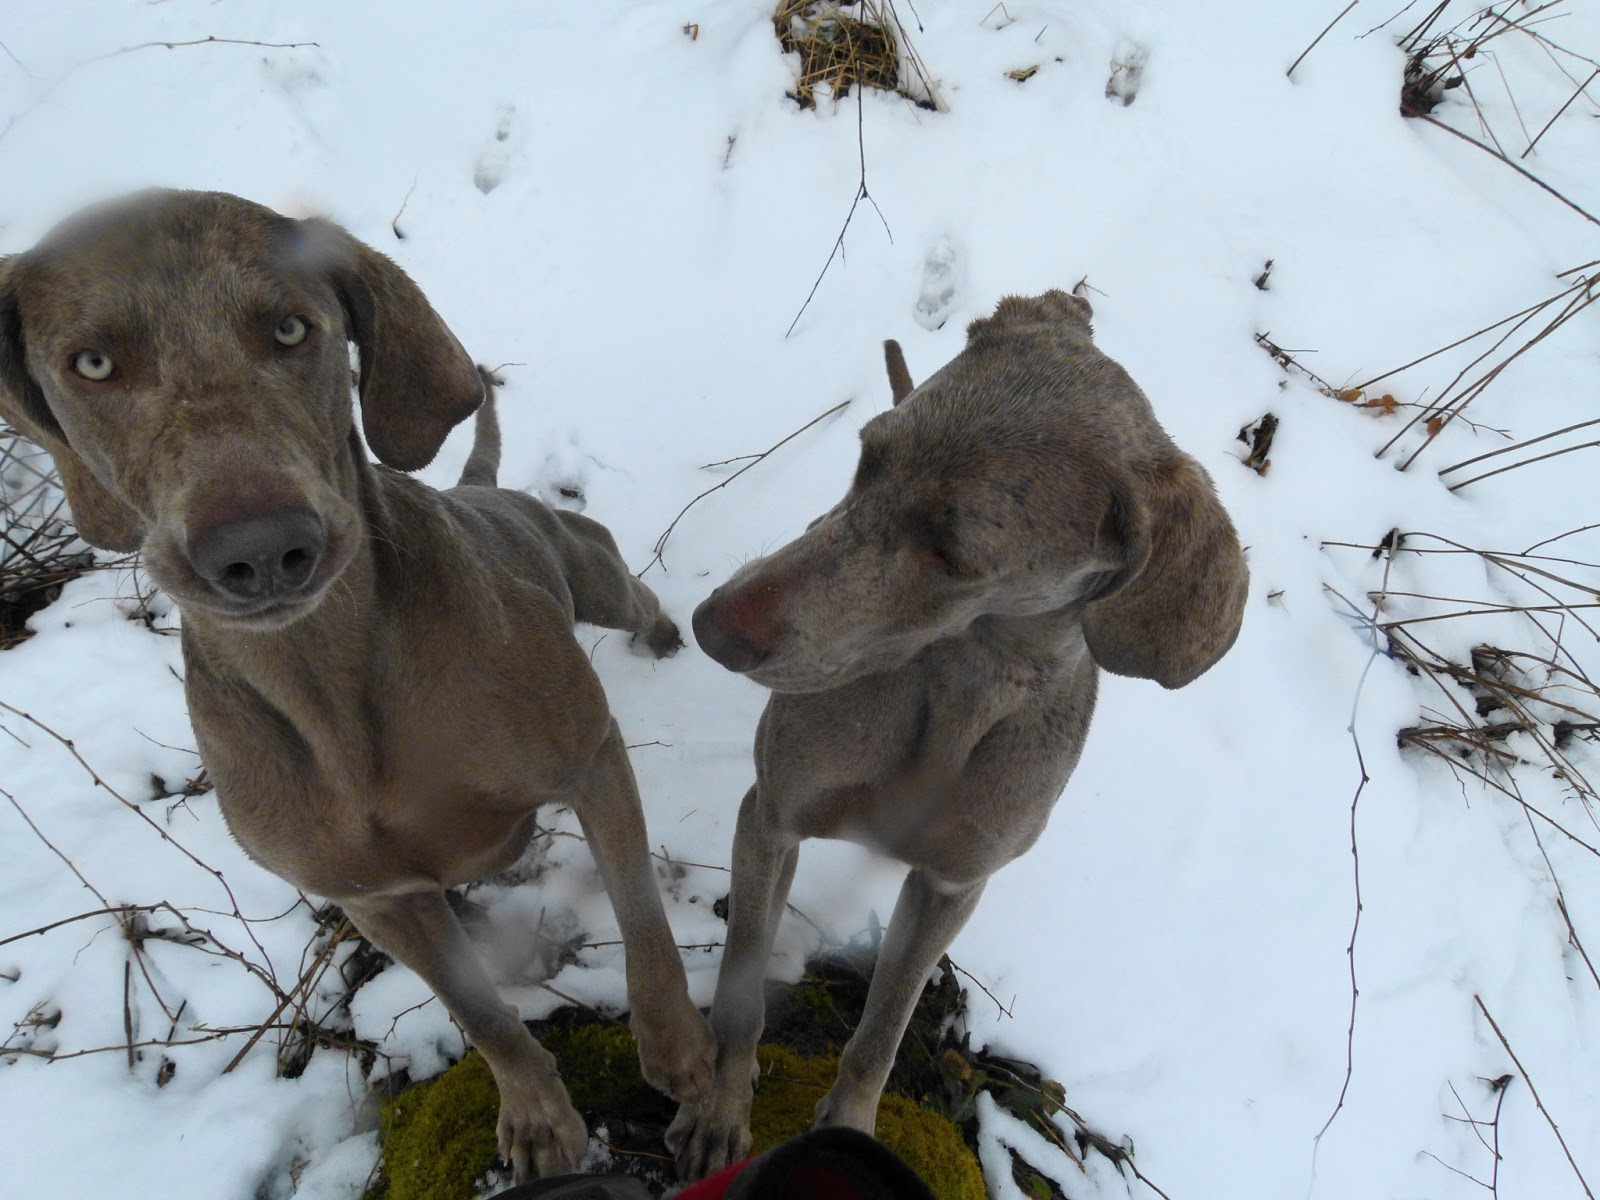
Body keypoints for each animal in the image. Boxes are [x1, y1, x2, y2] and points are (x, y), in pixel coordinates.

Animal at [0, 189, 715, 1181]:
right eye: (93, 363)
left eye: (291, 329)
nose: (259, 549)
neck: (333, 681)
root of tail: (479, 489)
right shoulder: (377, 901)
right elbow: (480, 1013)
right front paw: (536, 1113)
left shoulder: (592, 758)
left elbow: (643, 919)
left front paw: (681, 1052)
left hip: (592, 576)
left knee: (630, 591)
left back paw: (662, 631)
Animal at [668, 289, 1249, 1176]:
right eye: (869, 456)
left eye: (953, 550)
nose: (712, 628)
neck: (952, 702)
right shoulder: (768, 816)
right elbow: (739, 993)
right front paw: (720, 1110)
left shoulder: (953, 885)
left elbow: (881, 1033)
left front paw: (848, 1129)